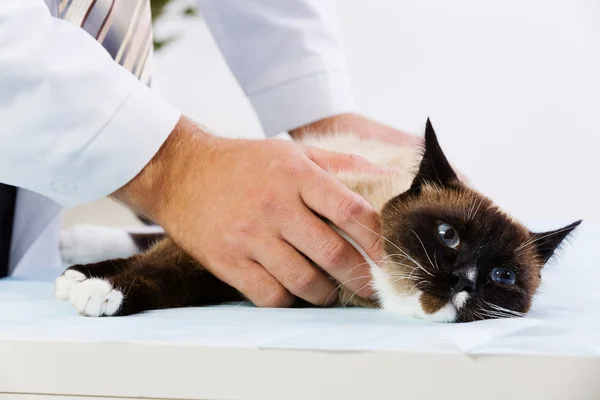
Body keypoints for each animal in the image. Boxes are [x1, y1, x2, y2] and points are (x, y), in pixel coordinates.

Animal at [54, 119, 580, 322]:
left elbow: (168, 279)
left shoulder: (245, 276)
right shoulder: (243, 247)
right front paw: (102, 290)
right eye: (448, 235)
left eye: (502, 277)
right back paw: (77, 270)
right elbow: (159, 268)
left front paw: (102, 291)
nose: (464, 280)